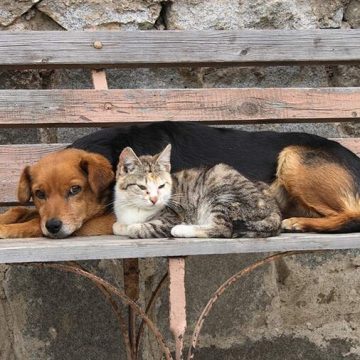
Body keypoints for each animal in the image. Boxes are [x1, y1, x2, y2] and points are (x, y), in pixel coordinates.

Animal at [112, 143, 282, 239]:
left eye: (161, 186)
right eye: (142, 187)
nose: (154, 199)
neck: (135, 208)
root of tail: (273, 208)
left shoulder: (171, 217)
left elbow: (137, 228)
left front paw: (132, 227)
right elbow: (116, 226)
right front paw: (121, 226)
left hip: (223, 194)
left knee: (223, 228)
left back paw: (181, 230)